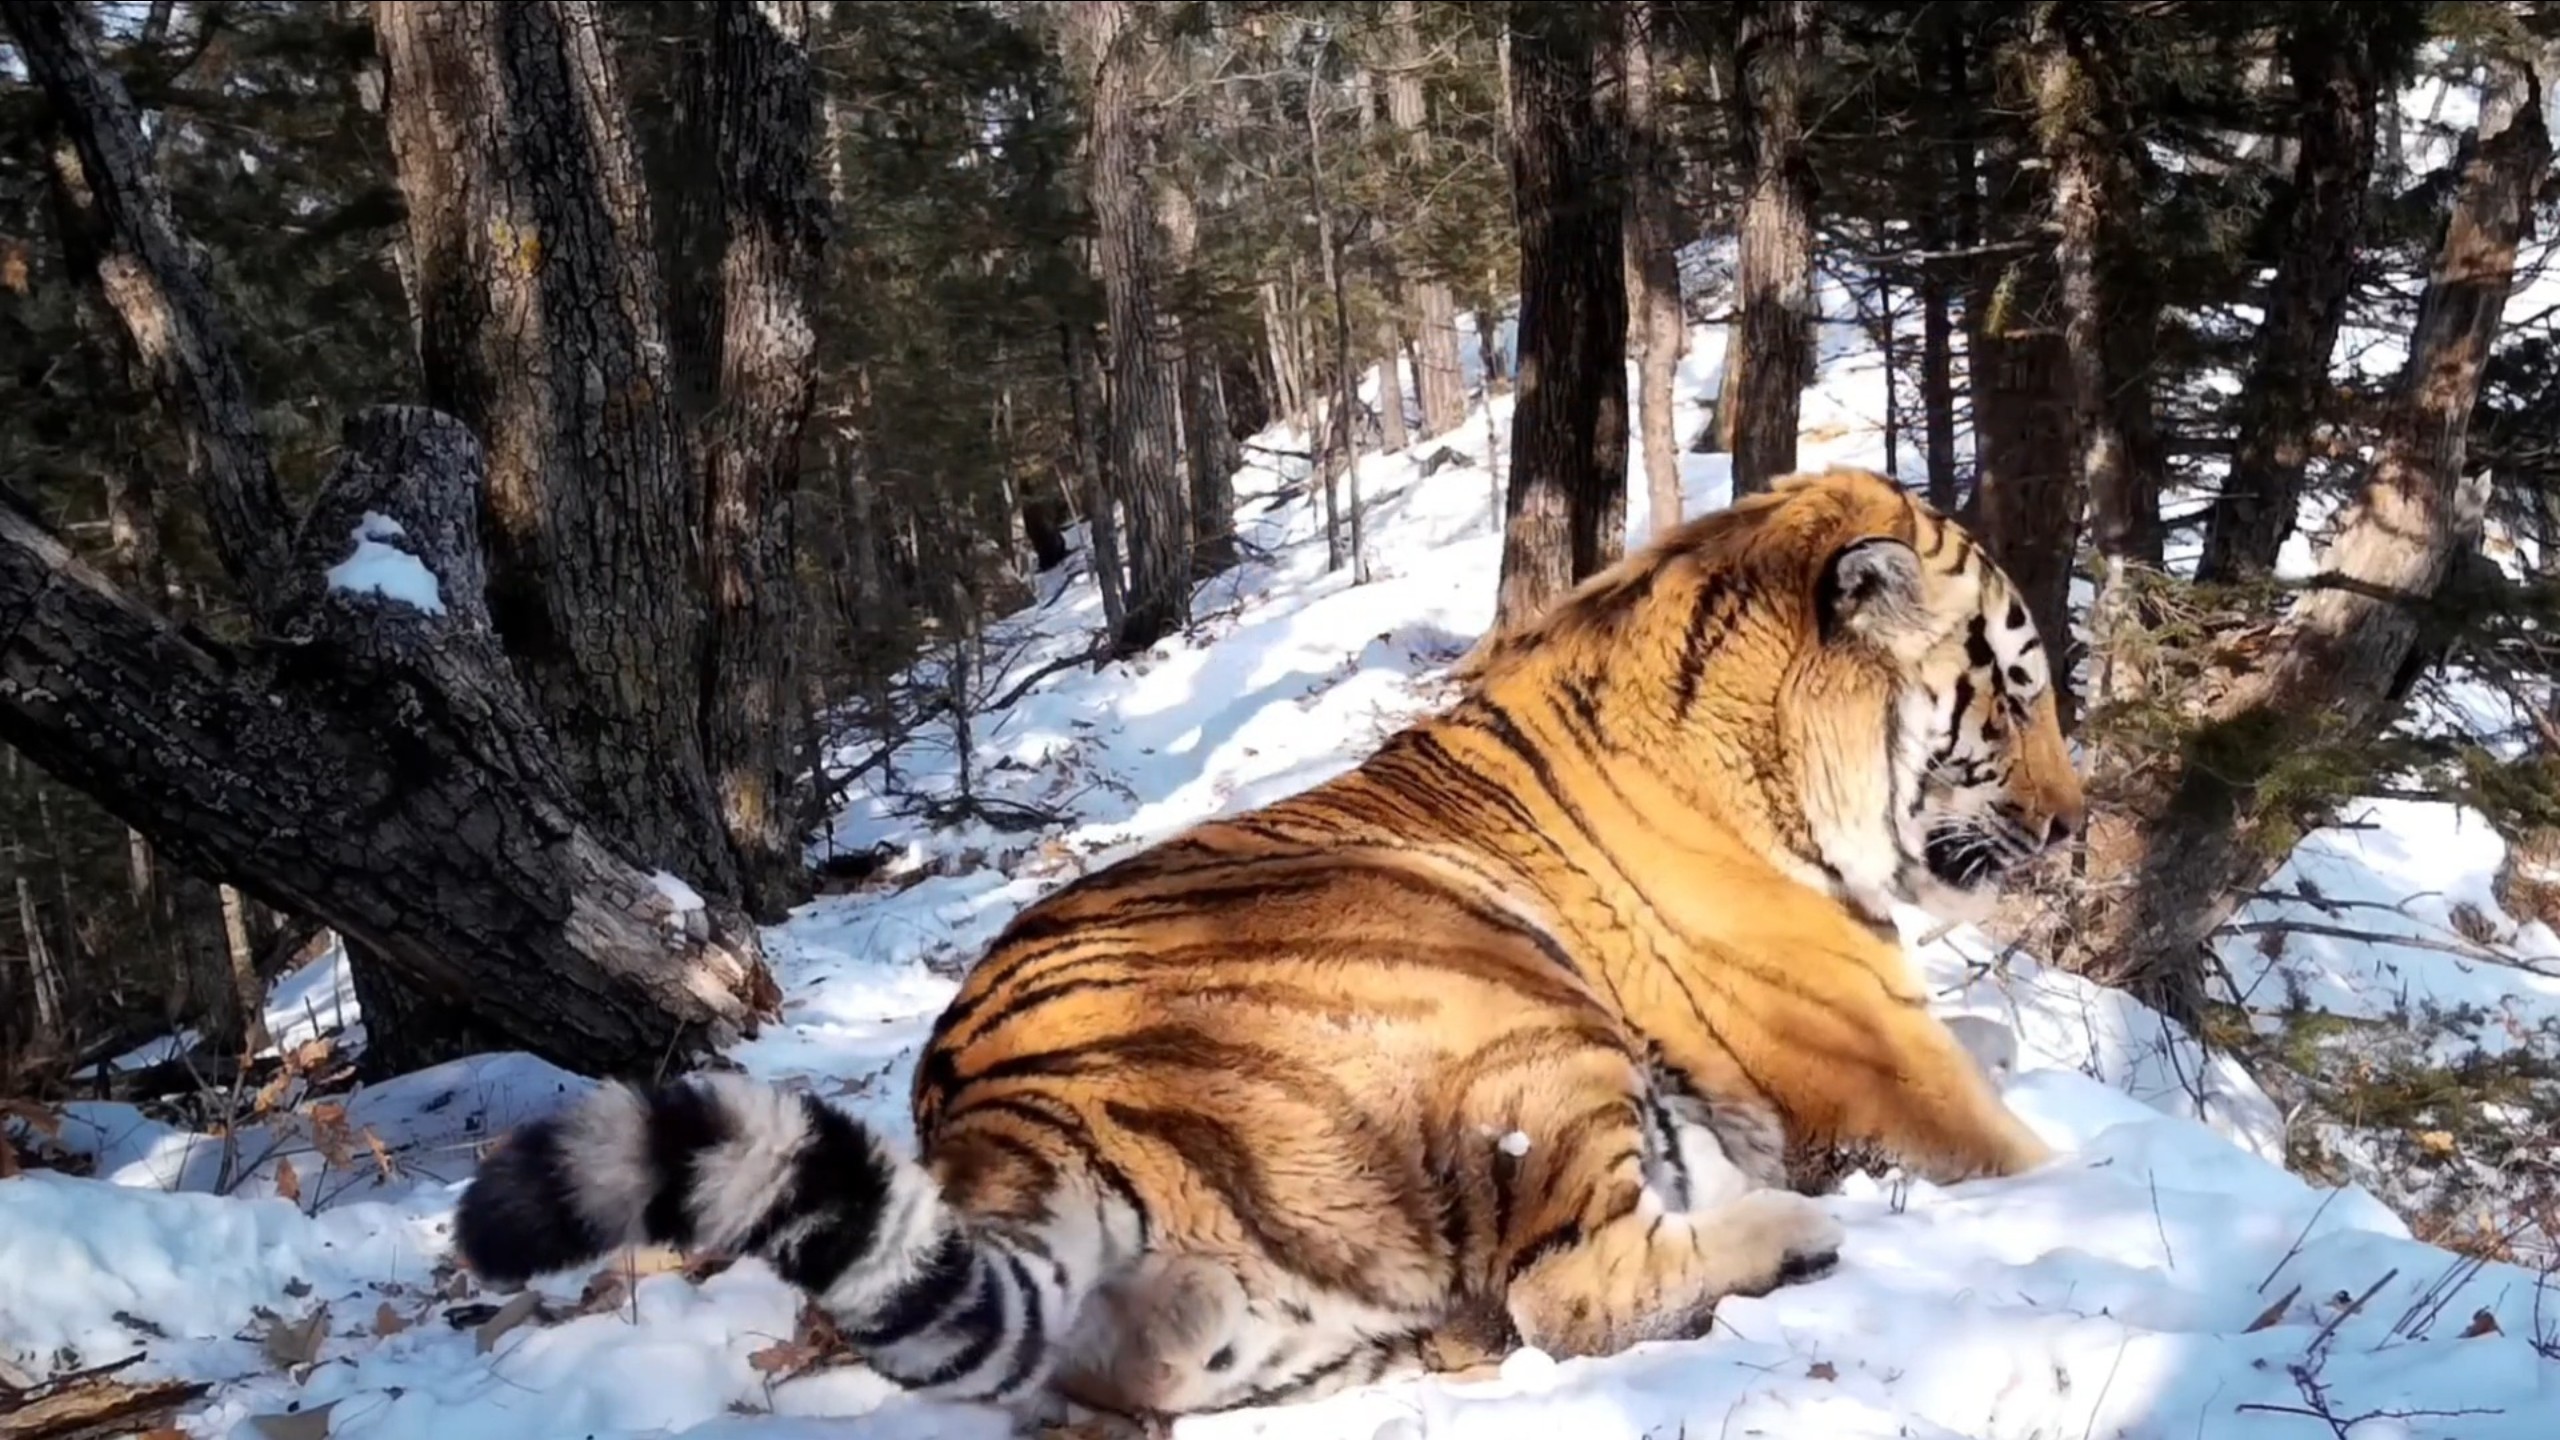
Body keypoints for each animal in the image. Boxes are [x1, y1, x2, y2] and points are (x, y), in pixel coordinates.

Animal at [452, 465, 2083, 1425]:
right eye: (2014, 688)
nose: (2079, 829)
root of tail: (1003, 1122)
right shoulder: (1889, 1073)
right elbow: (2029, 1145)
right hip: (1513, 1009)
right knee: (1559, 1291)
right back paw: (1794, 1235)